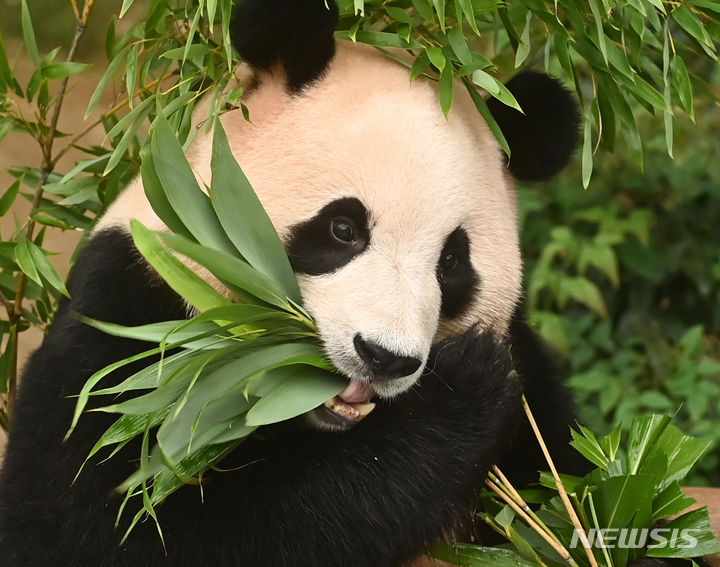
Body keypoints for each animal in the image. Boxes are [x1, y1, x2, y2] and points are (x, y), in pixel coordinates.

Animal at [0, 1, 604, 567]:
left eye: (452, 262)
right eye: (343, 228)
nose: (385, 357)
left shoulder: (533, 389)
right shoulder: (131, 326)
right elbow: (116, 524)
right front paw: (464, 387)